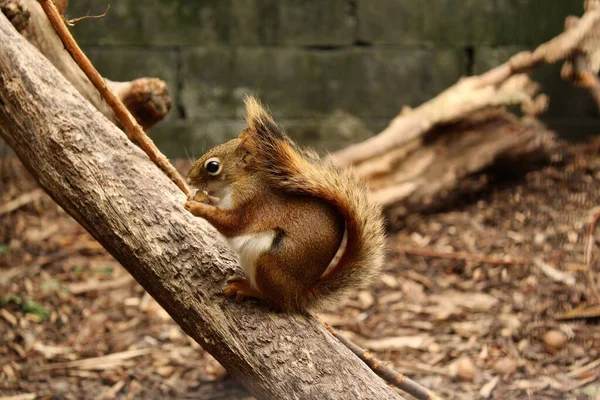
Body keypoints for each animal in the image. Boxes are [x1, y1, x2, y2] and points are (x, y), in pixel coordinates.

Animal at [183, 96, 384, 312]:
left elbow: (231, 224)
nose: (188, 179)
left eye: (213, 166)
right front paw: (199, 197)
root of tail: (298, 294)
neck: (242, 180)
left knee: (274, 299)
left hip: (269, 263)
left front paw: (197, 208)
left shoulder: (252, 203)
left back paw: (247, 289)